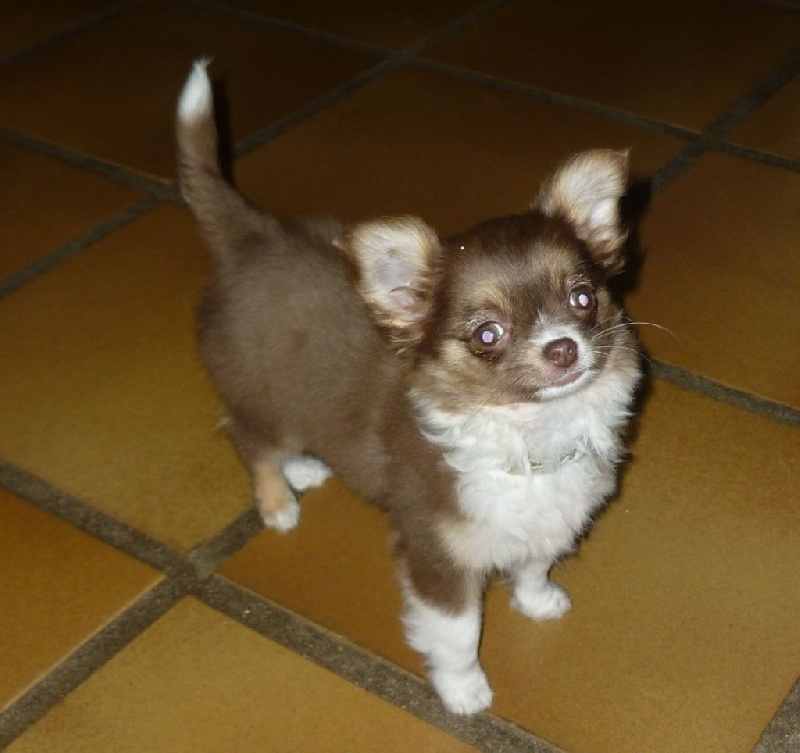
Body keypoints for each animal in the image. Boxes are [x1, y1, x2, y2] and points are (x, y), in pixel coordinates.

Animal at [177, 61, 644, 712]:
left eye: (582, 298)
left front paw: (538, 603)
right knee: (251, 443)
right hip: (264, 399)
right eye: (487, 334)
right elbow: (458, 633)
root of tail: (254, 240)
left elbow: (532, 565)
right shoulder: (436, 557)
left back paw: (306, 471)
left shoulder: (549, 519)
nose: (562, 348)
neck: (531, 433)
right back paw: (278, 503)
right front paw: (465, 692)